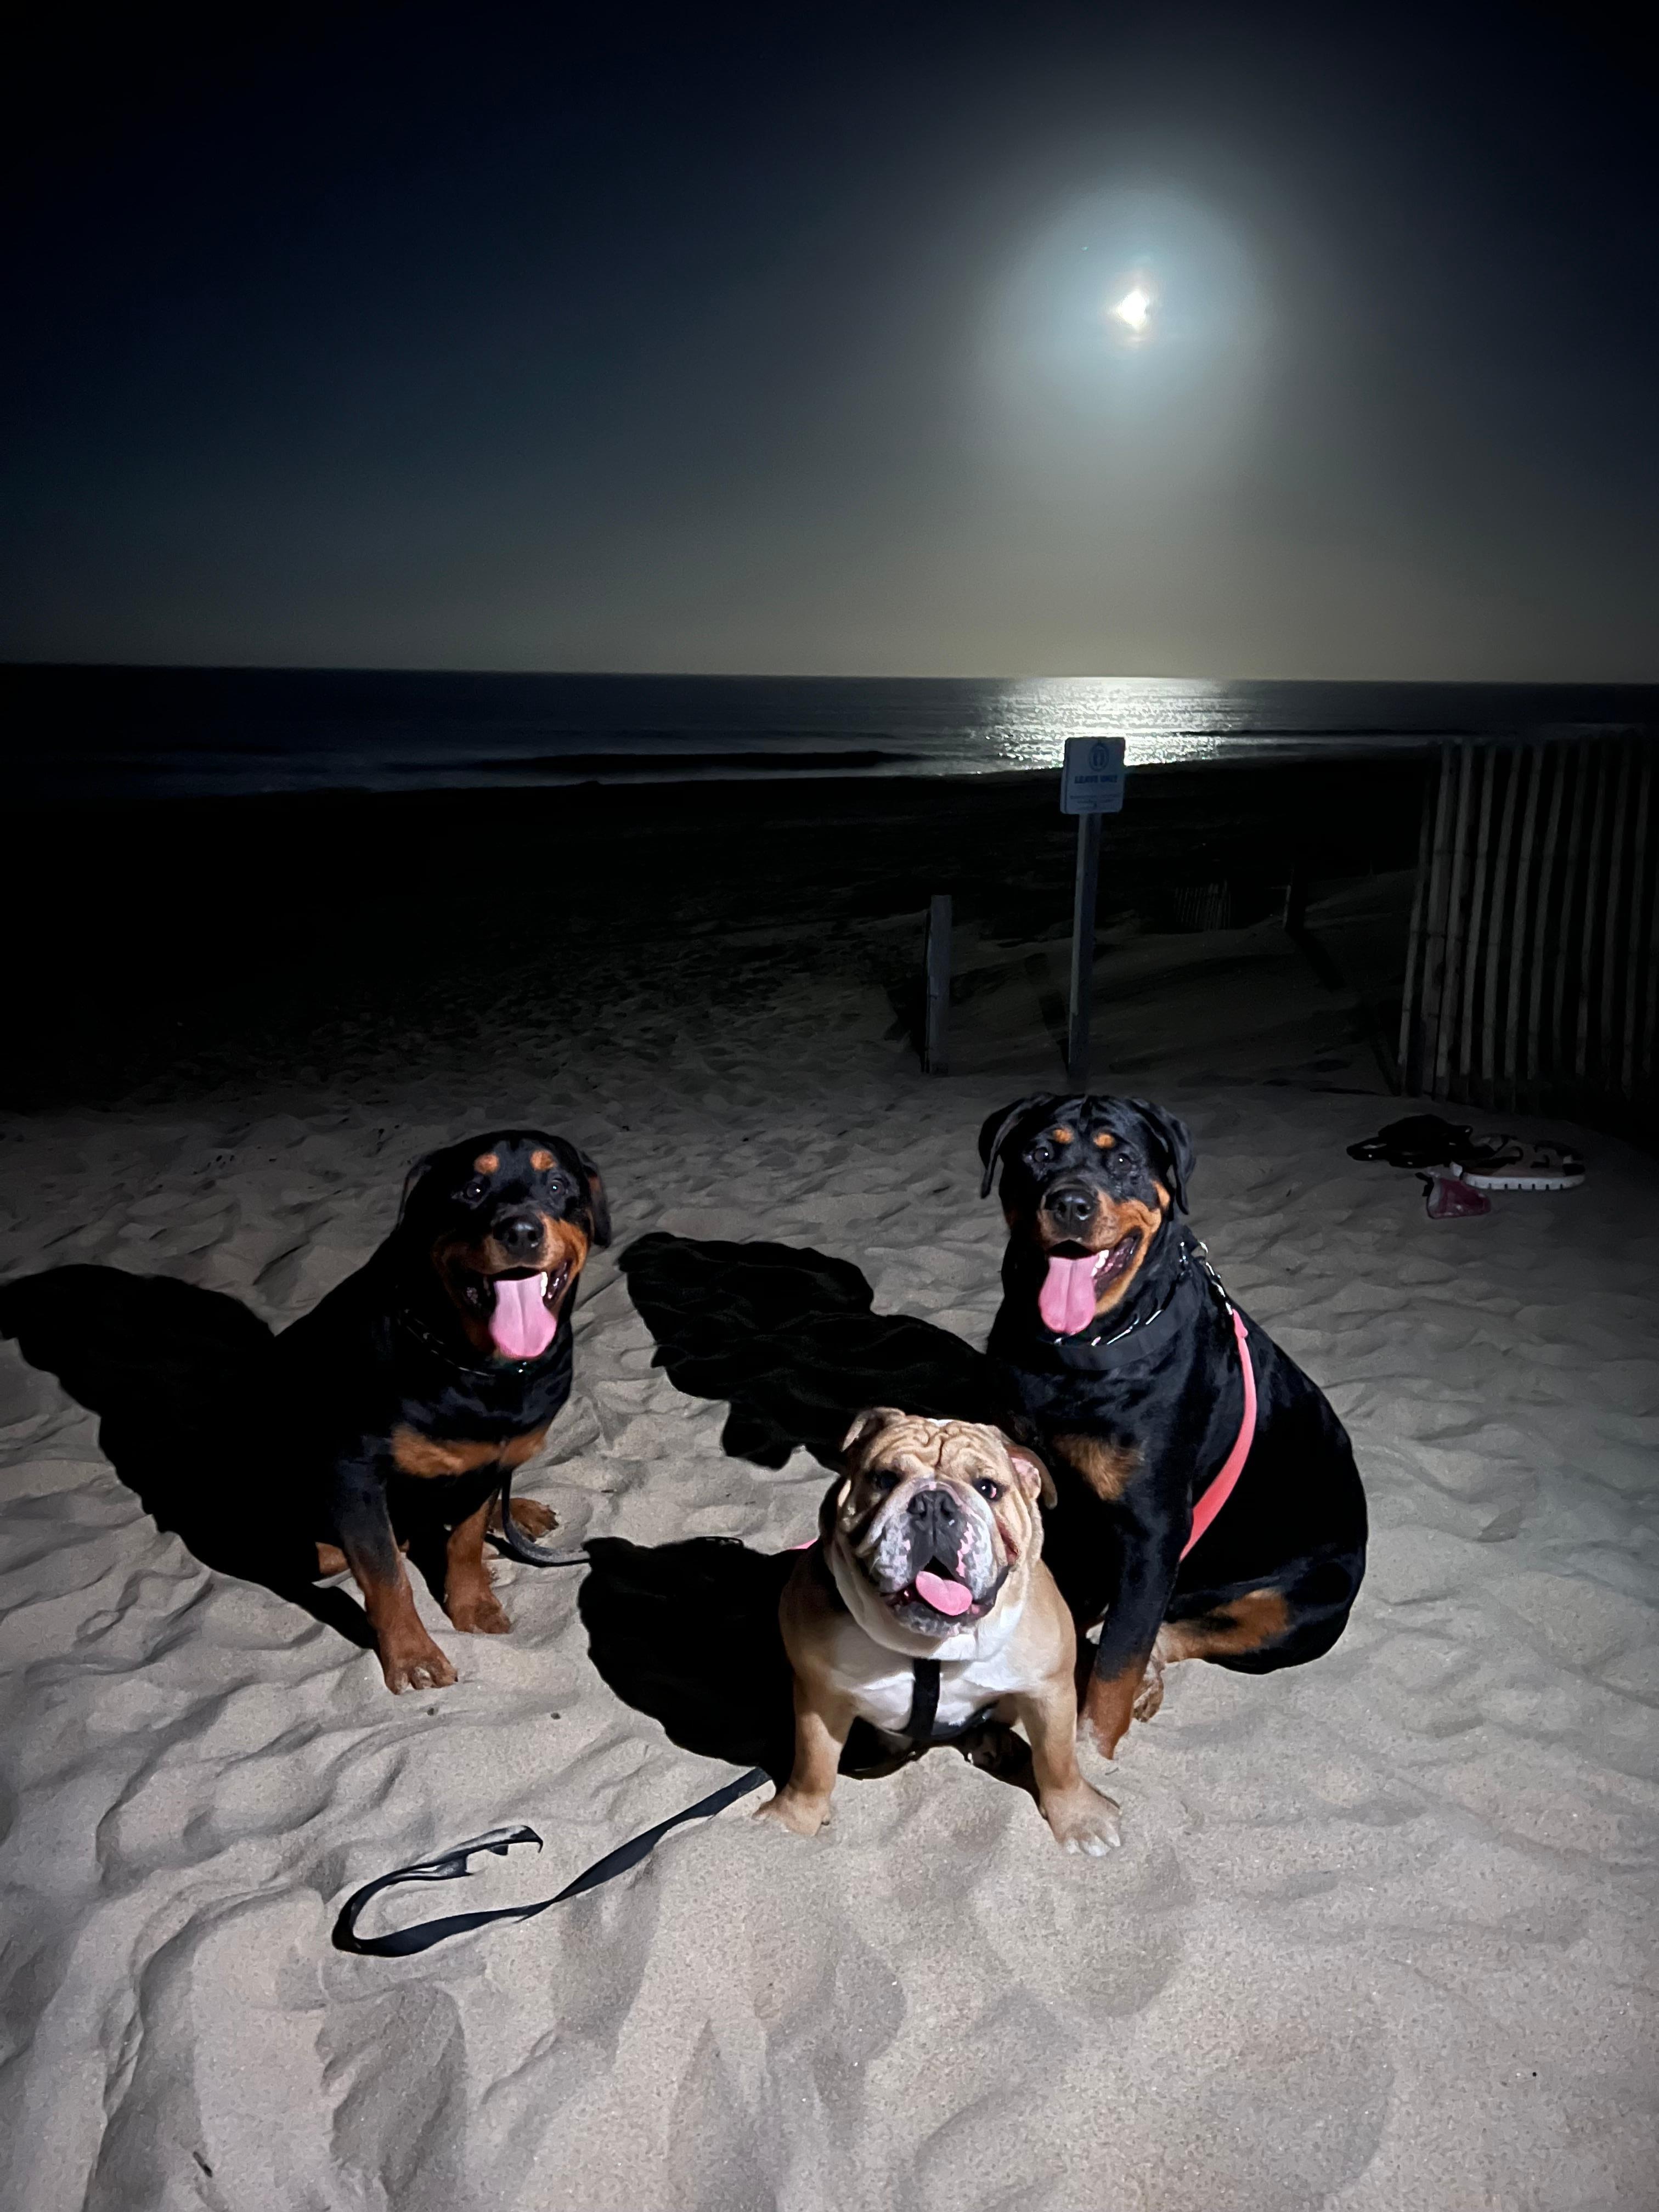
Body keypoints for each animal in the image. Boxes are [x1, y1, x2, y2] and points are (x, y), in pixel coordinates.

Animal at [278, 1129, 608, 1692]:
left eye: (557, 1184)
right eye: (473, 1190)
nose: (521, 1231)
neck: (480, 1367)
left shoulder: (491, 1462)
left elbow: (467, 1540)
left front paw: (472, 1602)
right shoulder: (352, 1475)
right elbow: (387, 1576)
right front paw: (413, 1655)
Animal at [756, 1408, 1122, 1854]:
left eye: (988, 1488)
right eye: (885, 1479)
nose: (933, 1503)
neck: (930, 1648)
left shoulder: (1049, 1689)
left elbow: (1058, 1760)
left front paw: (1081, 1819)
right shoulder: (819, 1694)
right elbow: (812, 1766)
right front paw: (792, 1821)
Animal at [979, 1093, 1366, 1763]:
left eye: (1124, 1162)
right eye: (1040, 1153)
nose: (1072, 1203)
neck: (1078, 1353)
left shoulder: (1153, 1532)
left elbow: (1118, 1660)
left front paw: (1093, 1750)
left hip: (1306, 1609)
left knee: (1171, 1632)